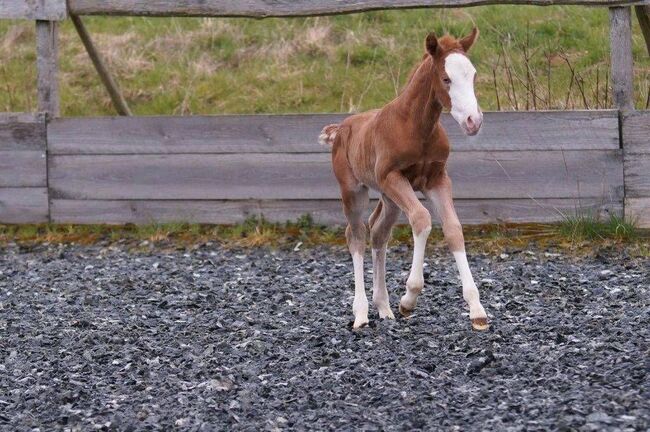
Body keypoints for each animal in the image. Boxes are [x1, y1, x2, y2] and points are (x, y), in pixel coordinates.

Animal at [318, 29, 486, 330]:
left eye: (473, 75)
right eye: (446, 79)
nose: (473, 121)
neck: (416, 126)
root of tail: (341, 128)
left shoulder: (437, 180)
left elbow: (453, 229)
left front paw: (477, 310)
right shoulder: (393, 177)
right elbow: (421, 219)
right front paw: (409, 299)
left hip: (389, 198)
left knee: (378, 232)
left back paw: (383, 307)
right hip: (355, 190)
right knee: (356, 234)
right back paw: (361, 314)